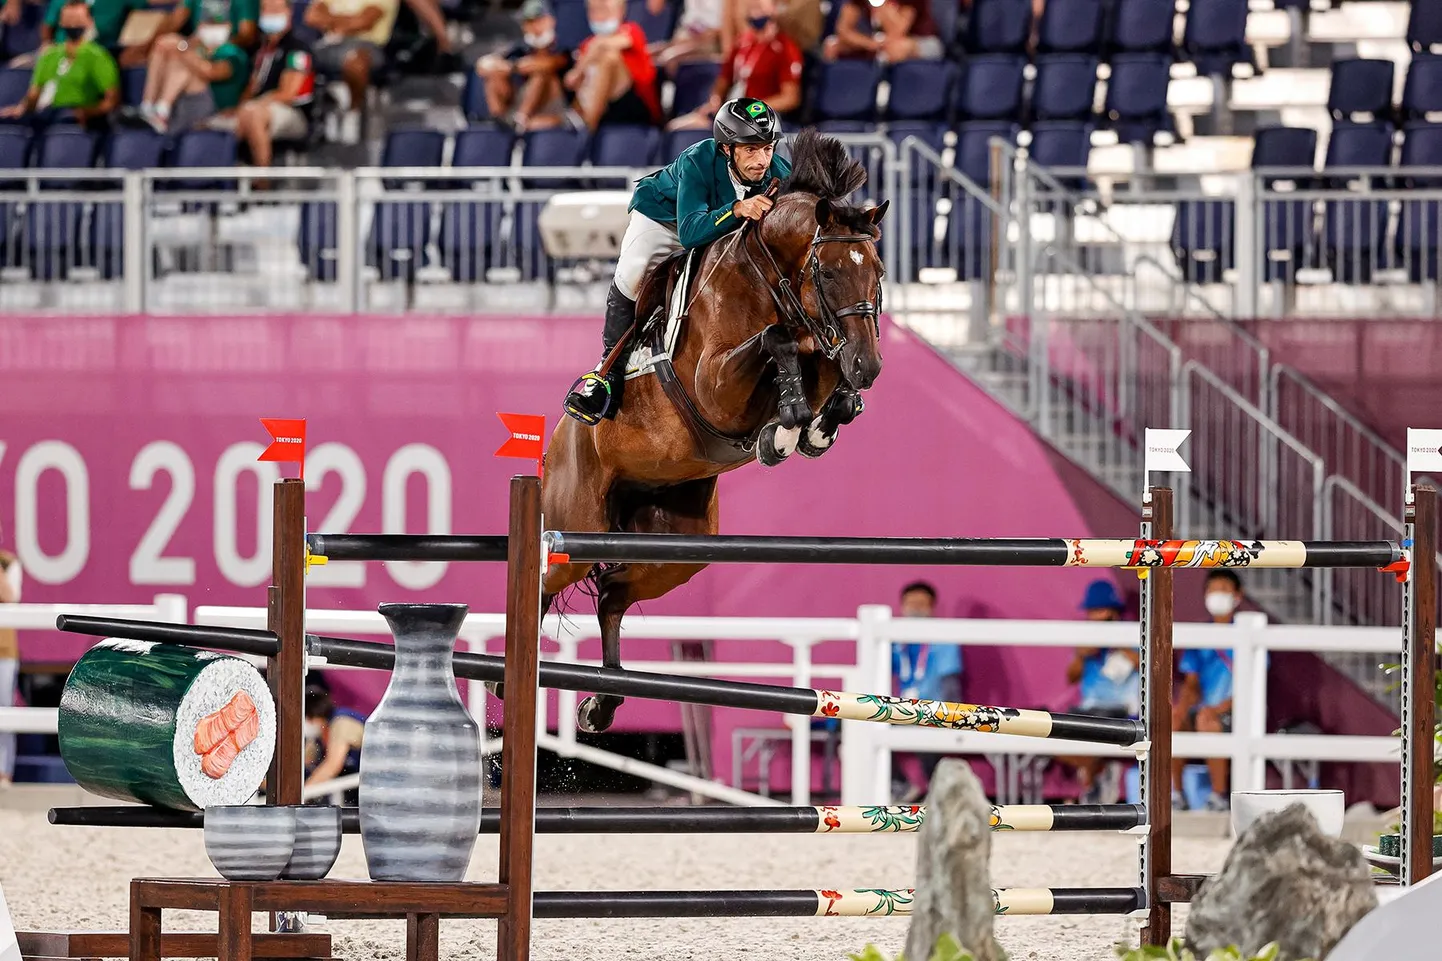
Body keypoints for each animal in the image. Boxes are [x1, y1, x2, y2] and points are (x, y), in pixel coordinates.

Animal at [533, 125, 888, 727]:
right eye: (829, 272)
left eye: (878, 273)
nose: (869, 366)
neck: (766, 275)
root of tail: (554, 446)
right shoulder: (714, 385)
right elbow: (779, 341)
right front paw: (786, 429)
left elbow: (816, 357)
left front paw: (821, 421)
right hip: (571, 530)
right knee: (543, 585)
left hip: (678, 547)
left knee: (611, 593)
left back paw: (601, 703)